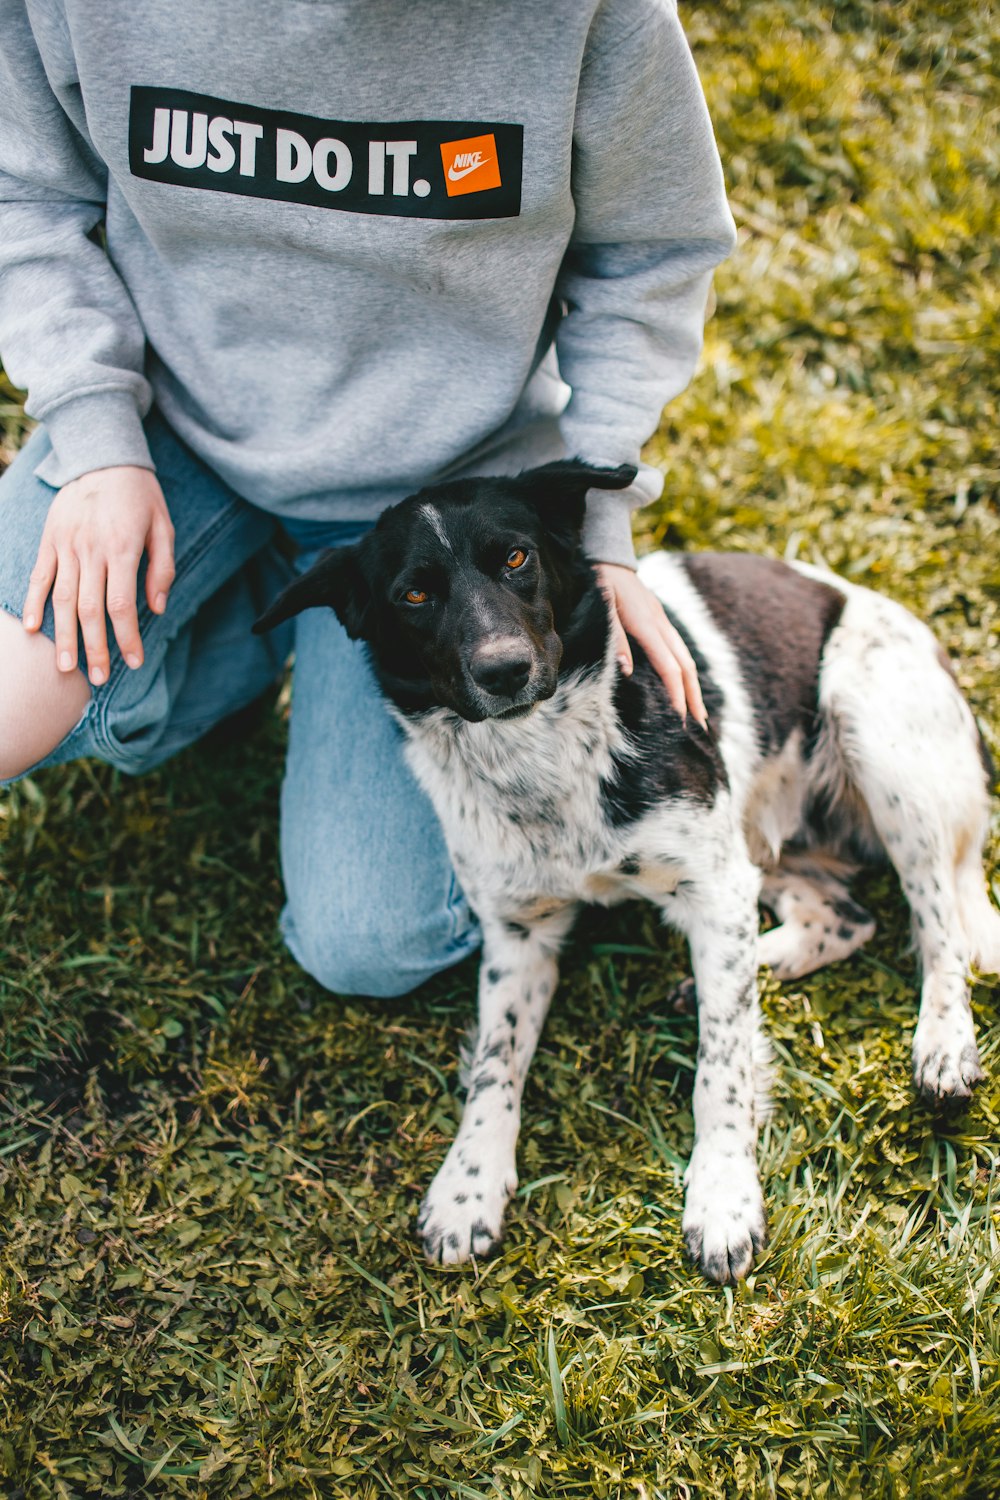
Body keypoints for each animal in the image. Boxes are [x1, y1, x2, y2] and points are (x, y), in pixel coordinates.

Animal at [256, 462, 1000, 1284]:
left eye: (515, 557)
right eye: (413, 595)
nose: (504, 670)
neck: (540, 758)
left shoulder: (713, 889)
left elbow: (721, 1068)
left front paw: (723, 1195)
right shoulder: (518, 934)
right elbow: (494, 1064)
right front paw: (467, 1185)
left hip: (876, 739)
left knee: (939, 929)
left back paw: (942, 1044)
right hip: (760, 842)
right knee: (843, 919)